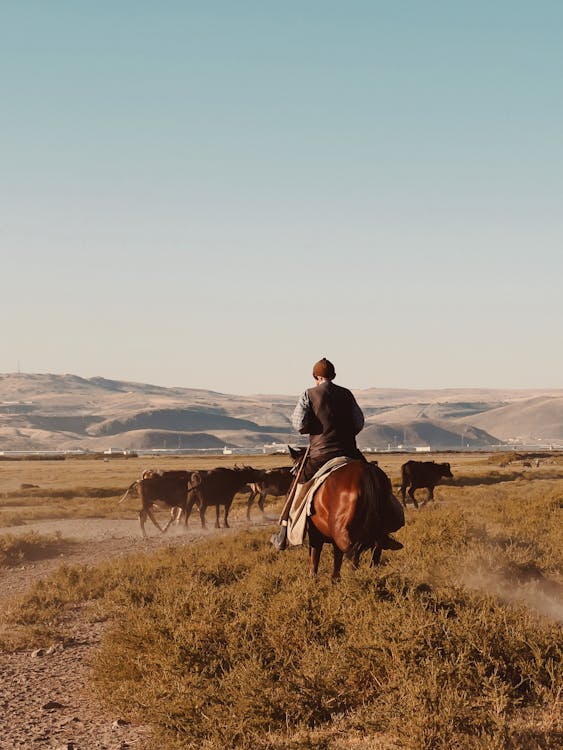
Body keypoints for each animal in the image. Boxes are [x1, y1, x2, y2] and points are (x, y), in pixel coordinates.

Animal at [288, 450, 404, 584]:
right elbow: (337, 557)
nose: (291, 488)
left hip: (343, 533)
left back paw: (353, 581)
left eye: (295, 472)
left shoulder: (315, 534)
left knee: (353, 554)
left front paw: (313, 580)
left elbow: (315, 557)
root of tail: (366, 472)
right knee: (375, 552)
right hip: (374, 533)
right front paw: (335, 580)